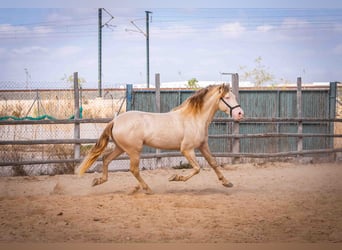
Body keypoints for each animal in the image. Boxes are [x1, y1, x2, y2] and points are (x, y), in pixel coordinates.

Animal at [76, 83, 244, 194]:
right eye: (227, 97)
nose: (240, 114)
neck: (194, 118)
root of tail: (115, 121)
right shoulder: (187, 149)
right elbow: (197, 168)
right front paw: (175, 177)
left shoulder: (203, 145)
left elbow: (213, 163)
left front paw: (227, 183)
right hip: (134, 150)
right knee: (133, 169)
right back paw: (147, 189)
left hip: (120, 148)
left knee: (106, 159)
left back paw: (99, 181)